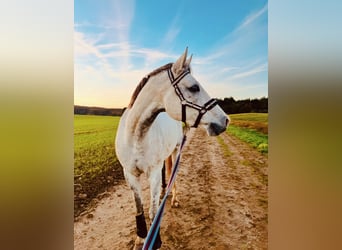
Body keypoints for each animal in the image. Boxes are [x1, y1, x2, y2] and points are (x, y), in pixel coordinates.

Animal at [115, 47, 230, 249]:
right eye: (194, 87)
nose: (225, 120)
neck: (135, 136)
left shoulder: (152, 173)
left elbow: (154, 211)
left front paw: (155, 240)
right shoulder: (130, 174)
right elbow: (139, 209)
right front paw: (140, 237)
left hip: (177, 150)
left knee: (173, 176)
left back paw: (174, 198)